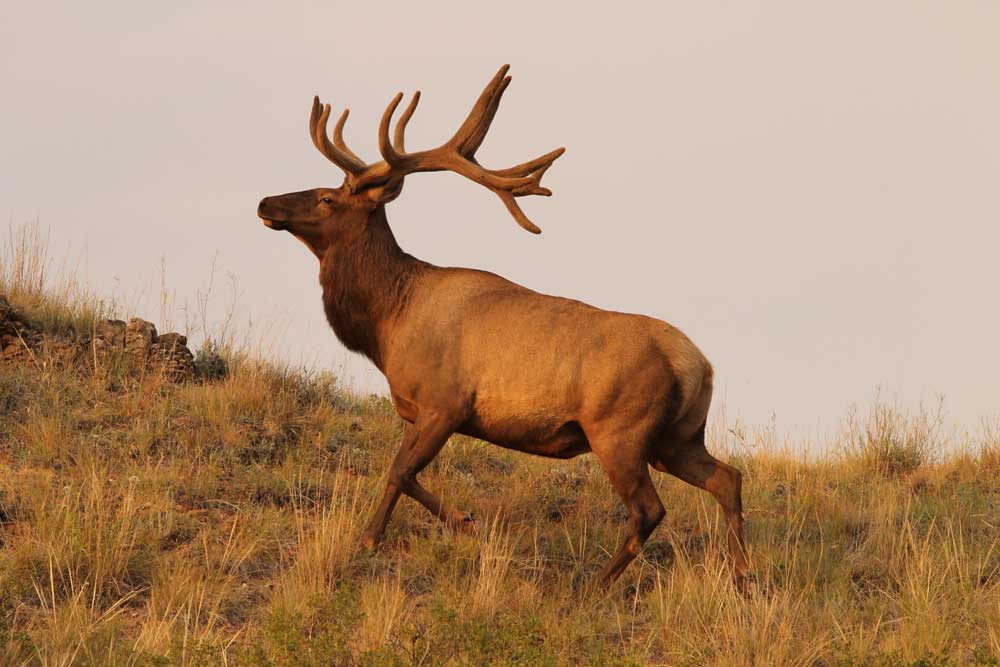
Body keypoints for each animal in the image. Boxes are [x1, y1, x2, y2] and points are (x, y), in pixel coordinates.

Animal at [254, 66, 748, 588]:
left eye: (327, 198)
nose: (266, 201)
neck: (387, 324)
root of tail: (699, 365)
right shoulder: (421, 410)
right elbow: (408, 474)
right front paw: (465, 521)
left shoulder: (445, 402)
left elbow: (399, 472)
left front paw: (375, 537)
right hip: (678, 437)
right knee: (727, 478)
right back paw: (742, 576)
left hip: (621, 431)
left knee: (649, 509)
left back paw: (595, 584)